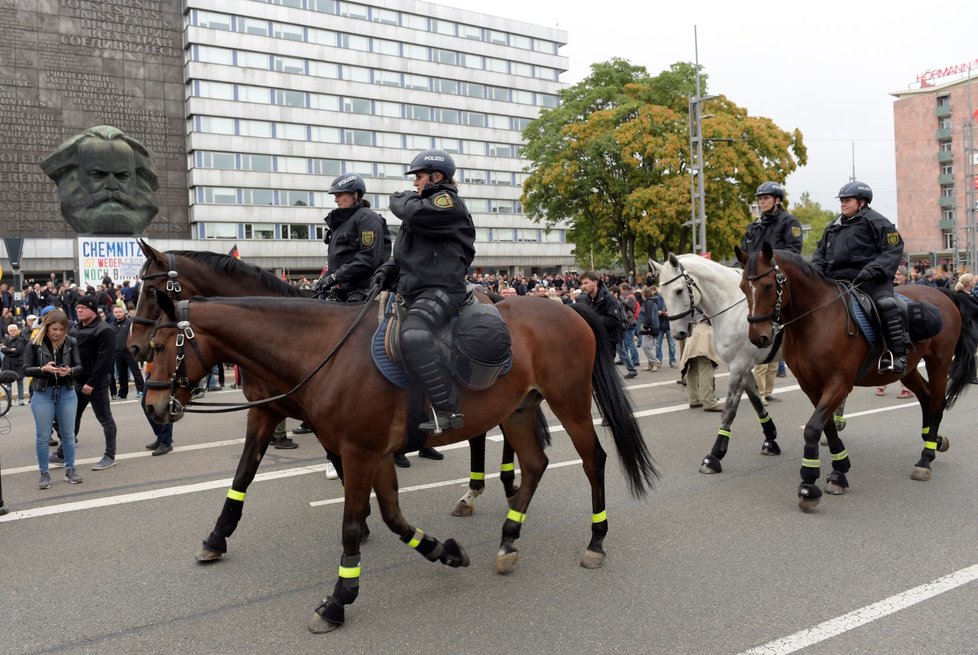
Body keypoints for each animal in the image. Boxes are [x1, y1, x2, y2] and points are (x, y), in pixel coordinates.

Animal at [141, 290, 656, 632]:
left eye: (161, 347)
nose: (151, 407)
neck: (324, 353)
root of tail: (566, 306)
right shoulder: (373, 453)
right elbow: (391, 516)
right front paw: (444, 551)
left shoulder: (359, 452)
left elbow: (351, 525)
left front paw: (338, 599)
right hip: (518, 410)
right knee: (533, 466)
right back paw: (508, 539)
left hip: (570, 402)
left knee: (593, 460)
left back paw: (596, 541)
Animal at [648, 254, 784, 474]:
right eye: (660, 293)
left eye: (678, 290)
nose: (678, 333)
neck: (733, 307)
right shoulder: (741, 366)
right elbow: (756, 402)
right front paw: (770, 439)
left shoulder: (740, 365)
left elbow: (729, 411)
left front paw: (714, 455)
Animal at [736, 242, 972, 512]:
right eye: (743, 287)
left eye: (767, 285)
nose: (758, 337)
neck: (815, 319)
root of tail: (944, 294)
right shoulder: (811, 386)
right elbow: (826, 426)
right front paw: (839, 470)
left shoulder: (839, 383)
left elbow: (813, 428)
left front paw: (809, 485)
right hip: (909, 369)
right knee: (926, 398)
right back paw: (934, 440)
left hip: (939, 363)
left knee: (936, 402)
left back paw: (925, 459)